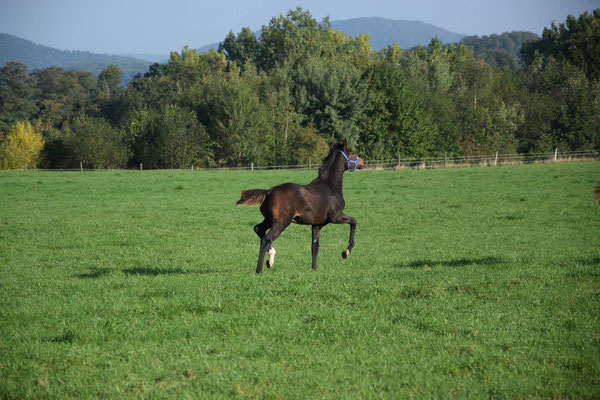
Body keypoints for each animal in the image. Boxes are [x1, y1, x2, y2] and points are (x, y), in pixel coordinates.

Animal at [237, 139, 364, 274]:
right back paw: (260, 270)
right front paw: (346, 251)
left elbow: (315, 247)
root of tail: (269, 191)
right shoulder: (336, 217)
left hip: (269, 220)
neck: (330, 185)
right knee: (266, 239)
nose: (362, 162)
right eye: (351, 153)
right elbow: (353, 221)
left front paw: (314, 269)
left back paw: (270, 258)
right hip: (281, 223)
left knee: (258, 229)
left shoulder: (317, 225)